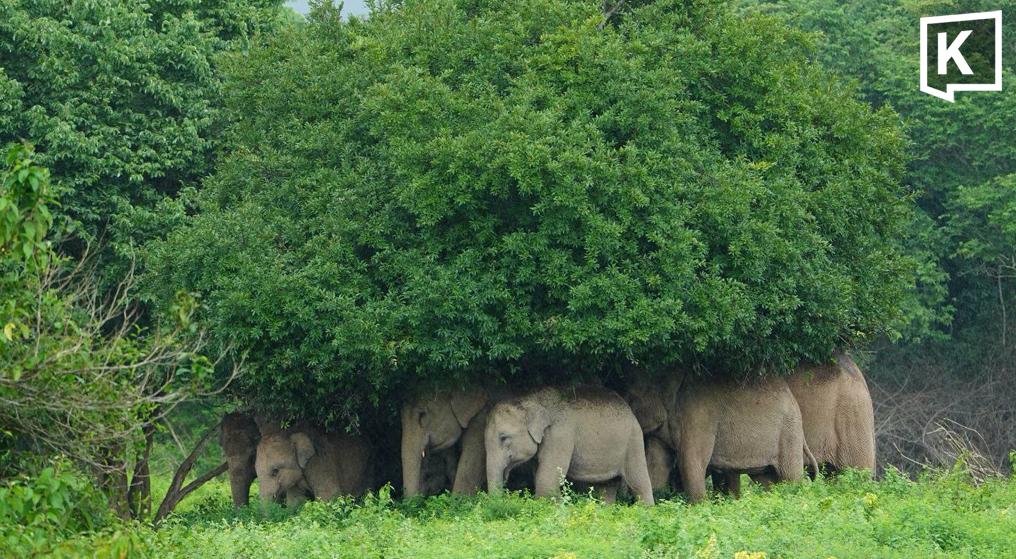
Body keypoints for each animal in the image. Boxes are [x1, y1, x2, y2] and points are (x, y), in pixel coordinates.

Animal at [485, 385, 655, 505]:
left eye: (503, 437)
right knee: (607, 487)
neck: (531, 399)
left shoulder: (560, 434)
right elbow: (539, 474)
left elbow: (547, 479)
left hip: (633, 440)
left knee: (639, 482)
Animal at [626, 373, 816, 503]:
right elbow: (657, 464)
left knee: (790, 476)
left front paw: (698, 506)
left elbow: (690, 462)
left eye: (630, 397)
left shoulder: (698, 415)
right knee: (765, 479)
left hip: (789, 432)